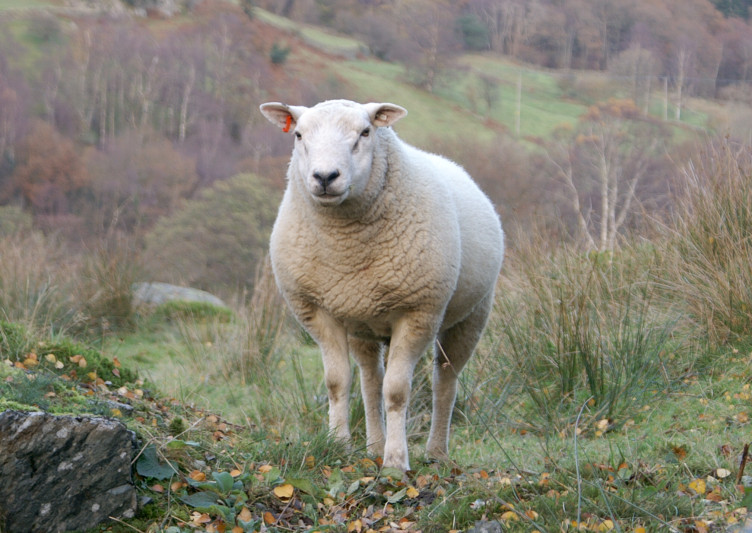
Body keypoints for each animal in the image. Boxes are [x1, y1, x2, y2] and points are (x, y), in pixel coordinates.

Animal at [259, 99, 504, 471]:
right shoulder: (319, 311)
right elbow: (337, 383)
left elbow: (397, 391)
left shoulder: (418, 313)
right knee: (370, 380)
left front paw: (396, 461)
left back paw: (436, 452)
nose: (325, 177)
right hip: (361, 321)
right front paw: (339, 445)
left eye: (365, 132)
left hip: (471, 315)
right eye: (298, 134)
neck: (346, 244)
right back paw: (374, 444)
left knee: (444, 381)